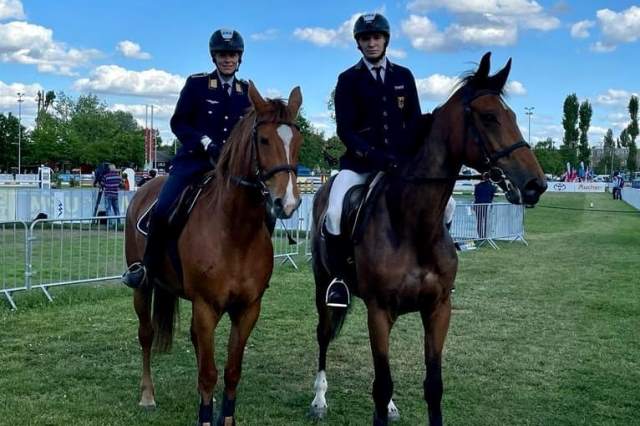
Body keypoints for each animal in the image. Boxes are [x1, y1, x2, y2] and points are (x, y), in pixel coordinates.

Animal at [124, 82, 303, 426]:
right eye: (263, 139)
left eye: (298, 141)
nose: (286, 203)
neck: (234, 231)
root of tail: (146, 186)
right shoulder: (206, 305)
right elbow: (209, 372)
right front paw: (206, 417)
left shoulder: (248, 309)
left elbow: (232, 370)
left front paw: (225, 416)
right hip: (143, 286)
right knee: (146, 334)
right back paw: (147, 395)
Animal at [308, 52, 547, 426]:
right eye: (489, 117)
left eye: (512, 116)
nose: (536, 184)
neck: (413, 225)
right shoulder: (379, 310)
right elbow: (382, 384)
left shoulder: (437, 309)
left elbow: (432, 385)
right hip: (324, 286)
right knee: (323, 334)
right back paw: (319, 399)